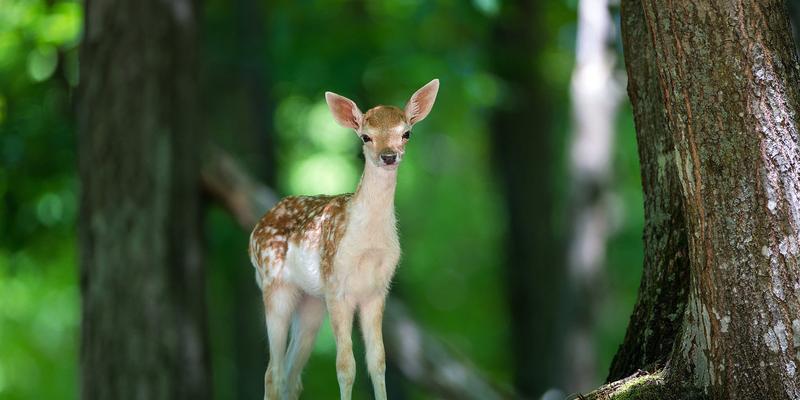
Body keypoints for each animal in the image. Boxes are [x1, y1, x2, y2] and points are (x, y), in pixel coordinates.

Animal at [248, 79, 440, 398]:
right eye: (365, 136)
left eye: (406, 132)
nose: (389, 155)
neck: (368, 243)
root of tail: (255, 231)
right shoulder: (337, 286)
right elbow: (345, 366)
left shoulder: (377, 291)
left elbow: (378, 362)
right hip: (275, 286)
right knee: (272, 372)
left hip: (311, 302)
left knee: (291, 373)